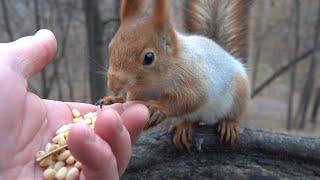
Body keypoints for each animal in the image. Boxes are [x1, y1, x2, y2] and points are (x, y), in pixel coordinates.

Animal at [96, 0, 251, 150]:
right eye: (110, 47)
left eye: (149, 57)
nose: (113, 84)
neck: (154, 84)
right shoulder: (139, 92)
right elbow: (131, 102)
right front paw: (114, 100)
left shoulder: (194, 77)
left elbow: (192, 97)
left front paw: (158, 108)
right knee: (192, 119)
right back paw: (184, 126)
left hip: (239, 94)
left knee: (231, 113)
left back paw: (229, 123)